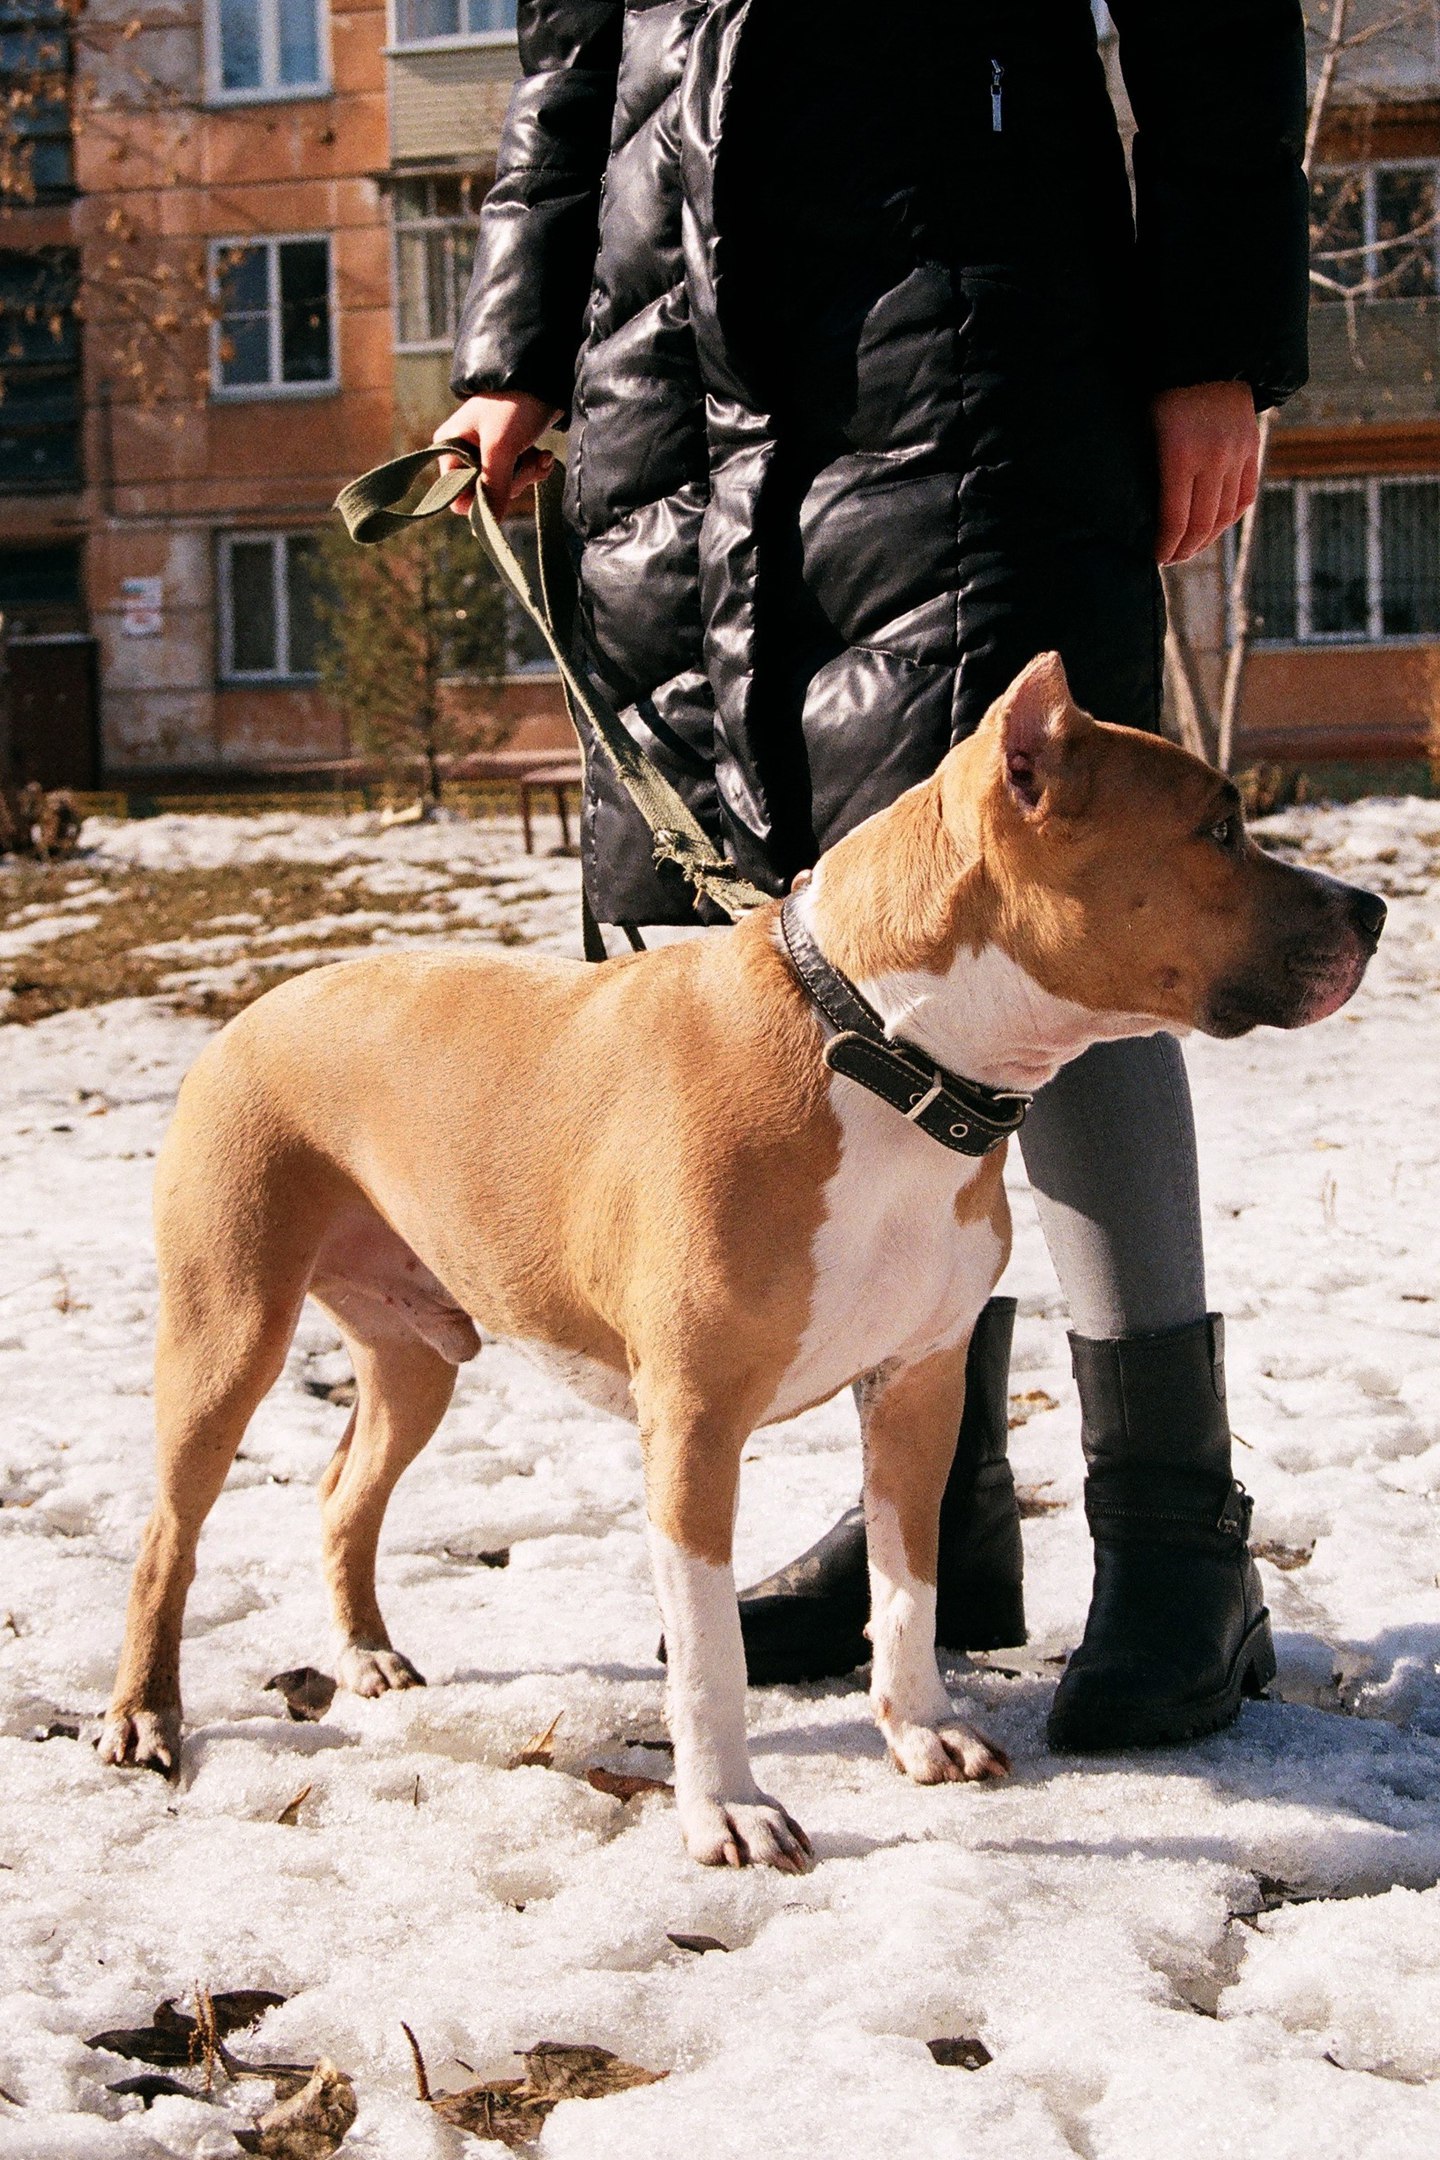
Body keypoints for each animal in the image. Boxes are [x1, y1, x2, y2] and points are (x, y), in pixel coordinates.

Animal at [98, 656, 1381, 1874]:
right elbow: (709, 1643)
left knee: (343, 1493)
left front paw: (919, 1728)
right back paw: (144, 1718)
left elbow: (908, 1586)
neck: (879, 1049)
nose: (1370, 909)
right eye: (1218, 829)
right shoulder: (696, 1419)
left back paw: (363, 1654)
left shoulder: (919, 1385)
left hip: (418, 1357)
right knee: (169, 1534)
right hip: (226, 1334)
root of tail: (251, 1010)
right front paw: (727, 1810)